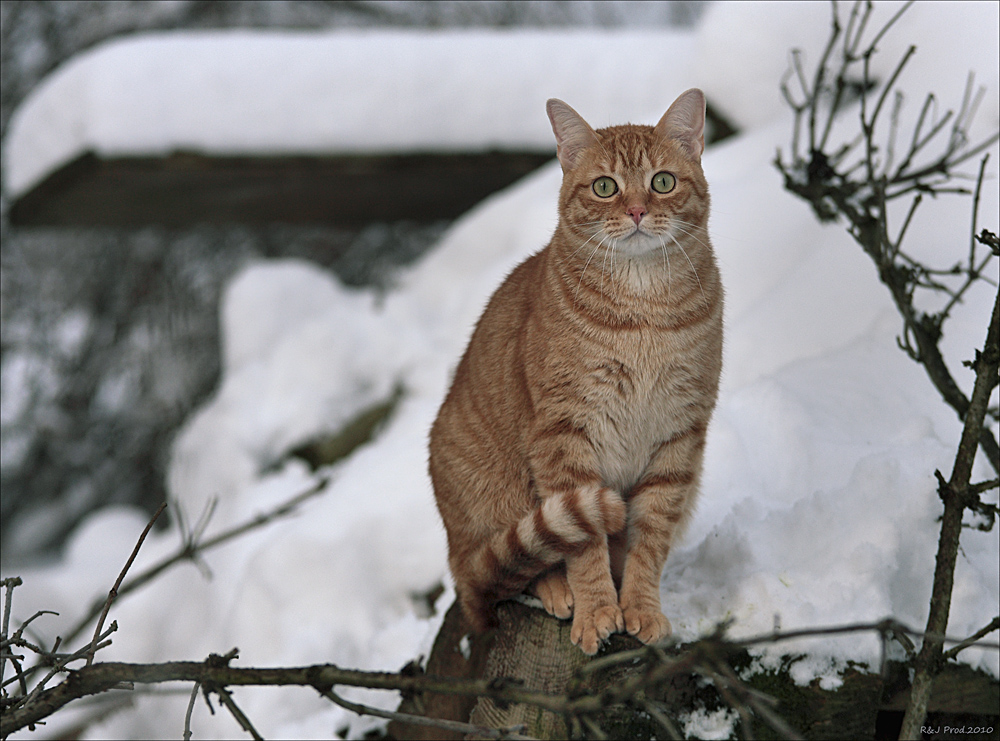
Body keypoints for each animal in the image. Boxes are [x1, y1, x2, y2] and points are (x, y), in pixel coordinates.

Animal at [428, 88, 720, 652]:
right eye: (605, 187)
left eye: (663, 182)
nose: (636, 210)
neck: (643, 311)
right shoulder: (565, 435)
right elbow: (584, 546)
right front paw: (598, 610)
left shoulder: (679, 436)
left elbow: (649, 541)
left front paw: (639, 607)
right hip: (496, 490)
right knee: (503, 568)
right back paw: (555, 588)